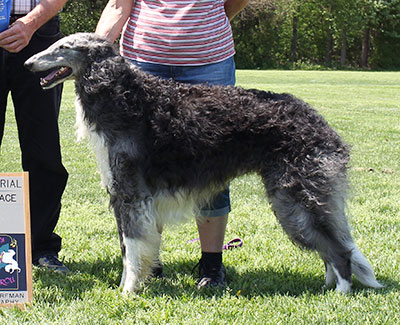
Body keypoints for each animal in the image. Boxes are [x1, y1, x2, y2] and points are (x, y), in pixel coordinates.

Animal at [24, 33, 382, 294]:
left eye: (63, 47)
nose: (27, 63)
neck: (125, 97)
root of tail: (322, 125)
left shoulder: (131, 194)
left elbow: (132, 248)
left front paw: (127, 292)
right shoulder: (125, 196)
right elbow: (131, 249)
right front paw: (132, 285)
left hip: (294, 198)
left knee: (340, 250)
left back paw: (341, 293)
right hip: (296, 201)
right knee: (330, 249)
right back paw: (329, 286)